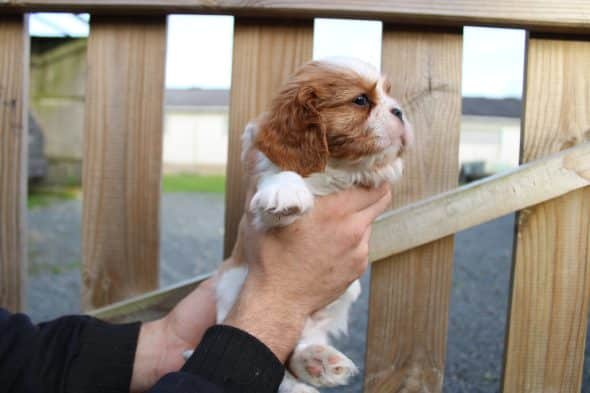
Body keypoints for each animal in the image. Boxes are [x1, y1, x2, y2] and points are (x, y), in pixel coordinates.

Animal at [208, 57, 412, 392]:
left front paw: (385, 167)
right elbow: (283, 175)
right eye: (361, 100)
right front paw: (287, 190)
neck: (331, 167)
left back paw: (316, 361)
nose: (399, 111)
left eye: (389, 94)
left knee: (297, 346)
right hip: (231, 286)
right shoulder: (261, 204)